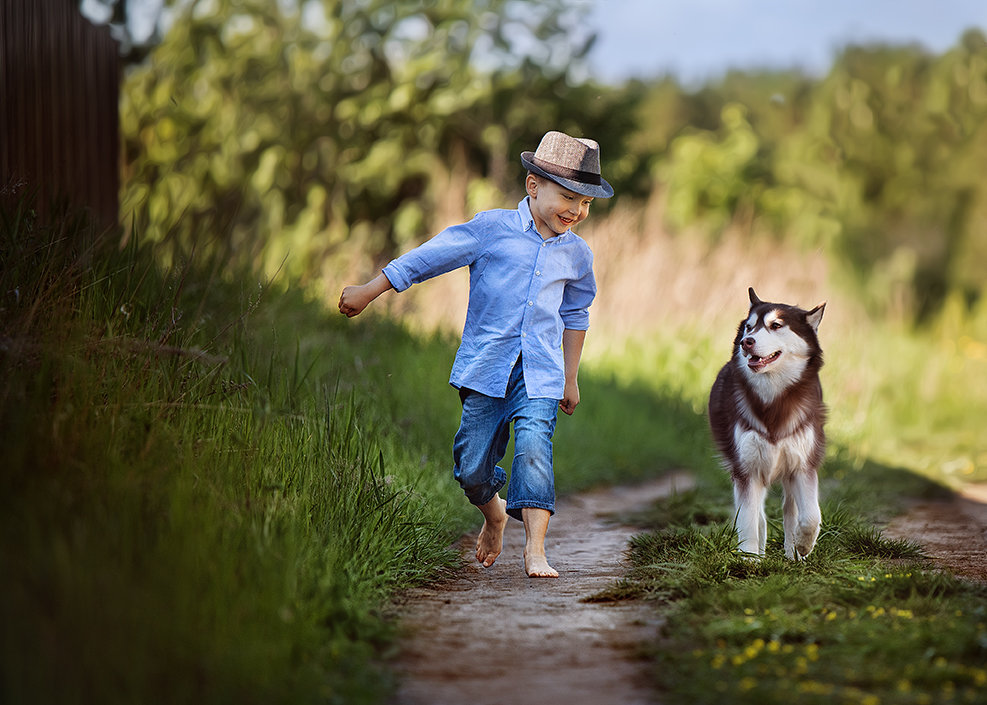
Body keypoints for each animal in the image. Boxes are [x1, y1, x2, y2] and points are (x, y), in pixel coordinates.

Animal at [712, 288, 824, 560]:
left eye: (776, 325)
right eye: (749, 327)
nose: (746, 342)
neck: (773, 399)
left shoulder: (803, 465)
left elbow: (811, 515)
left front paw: (803, 545)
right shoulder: (747, 469)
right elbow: (749, 520)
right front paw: (749, 559)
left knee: (790, 509)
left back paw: (793, 553)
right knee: (758, 514)